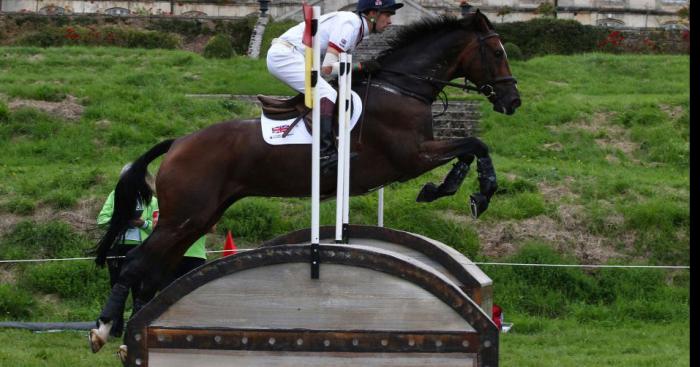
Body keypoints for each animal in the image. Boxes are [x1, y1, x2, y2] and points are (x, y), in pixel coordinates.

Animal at [89, 11, 520, 356]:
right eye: (498, 53)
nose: (512, 101)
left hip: (197, 219)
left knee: (153, 271)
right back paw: (103, 330)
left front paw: (448, 189)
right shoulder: (411, 156)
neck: (401, 88)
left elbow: (469, 149)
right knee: (133, 263)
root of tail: (179, 142)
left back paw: (132, 333)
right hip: (183, 217)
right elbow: (474, 144)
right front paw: (476, 192)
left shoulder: (419, 154)